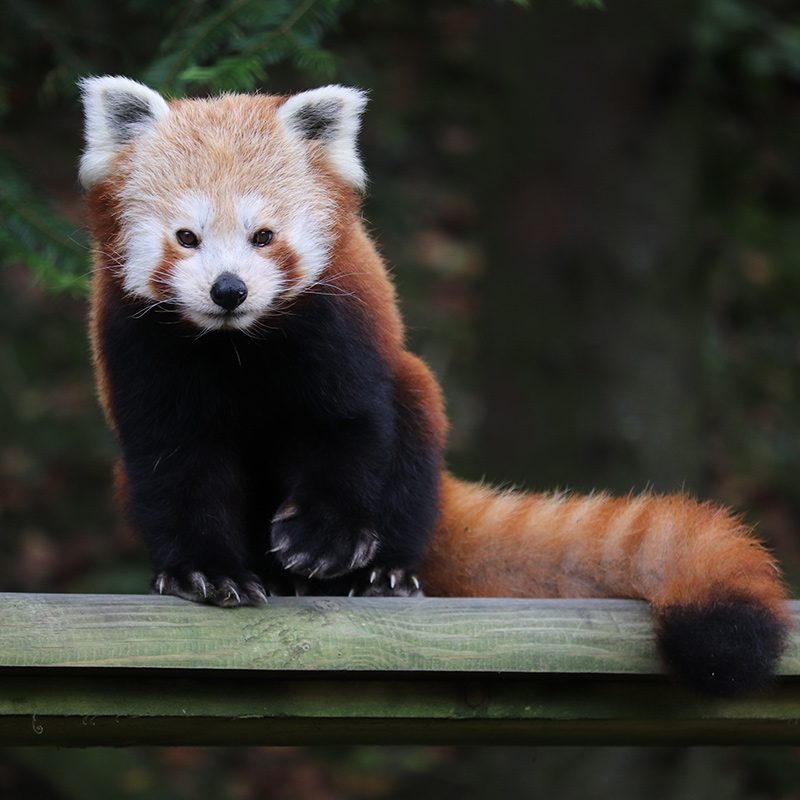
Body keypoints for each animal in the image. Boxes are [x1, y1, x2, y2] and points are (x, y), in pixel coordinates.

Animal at [79, 78, 788, 696]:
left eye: (263, 236)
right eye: (186, 237)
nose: (229, 290)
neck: (236, 344)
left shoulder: (338, 331)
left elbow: (346, 428)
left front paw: (322, 539)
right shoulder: (143, 350)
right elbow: (175, 463)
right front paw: (204, 570)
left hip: (418, 412)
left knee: (410, 437)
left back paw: (384, 574)